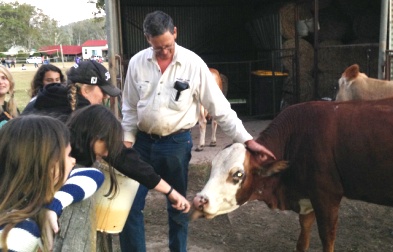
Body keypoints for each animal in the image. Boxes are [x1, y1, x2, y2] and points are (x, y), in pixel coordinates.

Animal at [191, 98, 392, 252]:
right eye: (213, 167)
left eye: (238, 174)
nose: (199, 200)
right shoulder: (307, 199)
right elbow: (302, 241)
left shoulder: (327, 198)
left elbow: (327, 240)